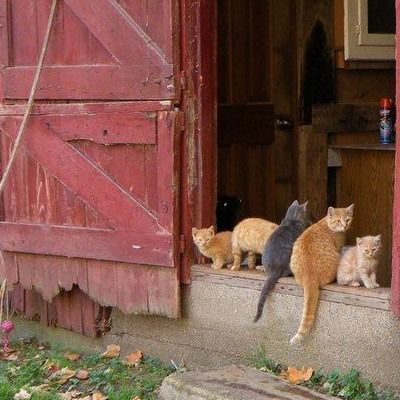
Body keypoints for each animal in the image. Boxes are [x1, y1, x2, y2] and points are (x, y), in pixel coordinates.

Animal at [290, 205, 354, 346]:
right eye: (338, 221)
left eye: (348, 220)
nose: (345, 226)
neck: (327, 223)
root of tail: (309, 274)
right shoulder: (339, 247)